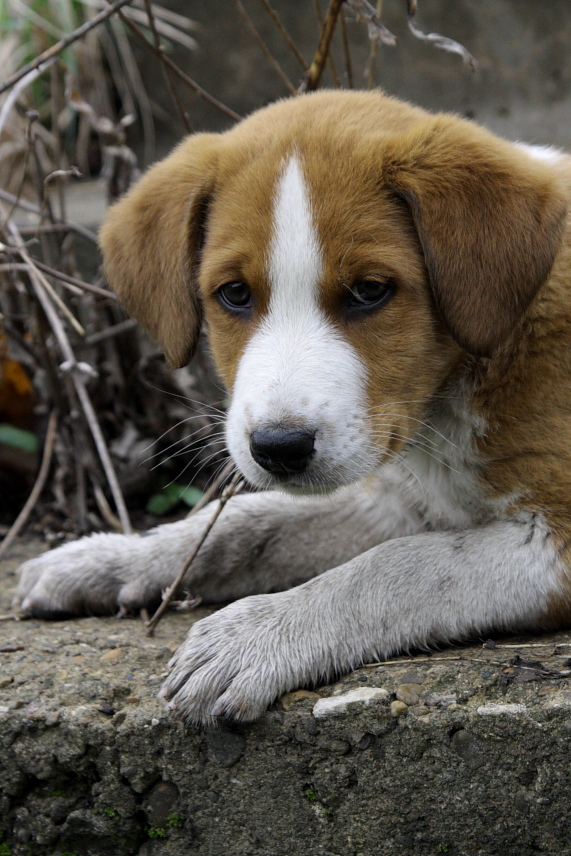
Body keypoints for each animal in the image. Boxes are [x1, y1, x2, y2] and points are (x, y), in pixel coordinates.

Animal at [15, 90, 571, 724]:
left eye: (370, 290)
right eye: (234, 293)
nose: (279, 448)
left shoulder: (556, 540)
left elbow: (398, 568)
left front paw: (256, 634)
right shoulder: (398, 499)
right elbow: (245, 522)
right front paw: (112, 558)